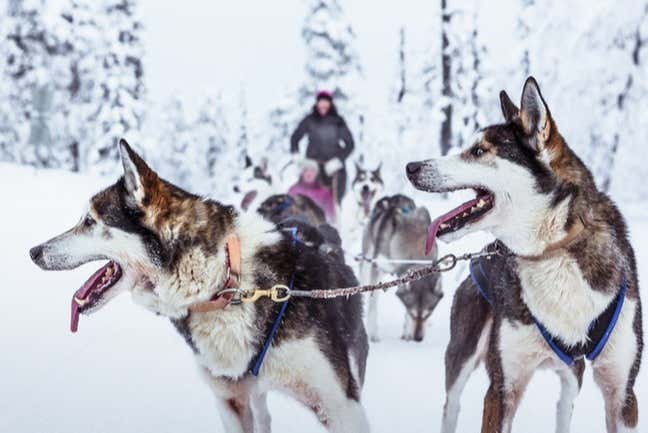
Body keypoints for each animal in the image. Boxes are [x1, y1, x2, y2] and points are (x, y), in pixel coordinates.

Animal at [362, 194, 442, 342]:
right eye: (412, 312)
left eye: (428, 314)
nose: (418, 339)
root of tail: (393, 197)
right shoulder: (377, 268)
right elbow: (373, 305)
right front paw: (372, 333)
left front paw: (407, 333)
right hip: (367, 261)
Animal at [408, 77, 640, 432]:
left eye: (479, 151)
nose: (411, 167)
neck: (552, 251)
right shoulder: (503, 387)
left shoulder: (623, 392)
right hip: (462, 352)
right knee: (452, 403)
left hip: (572, 375)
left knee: (565, 404)